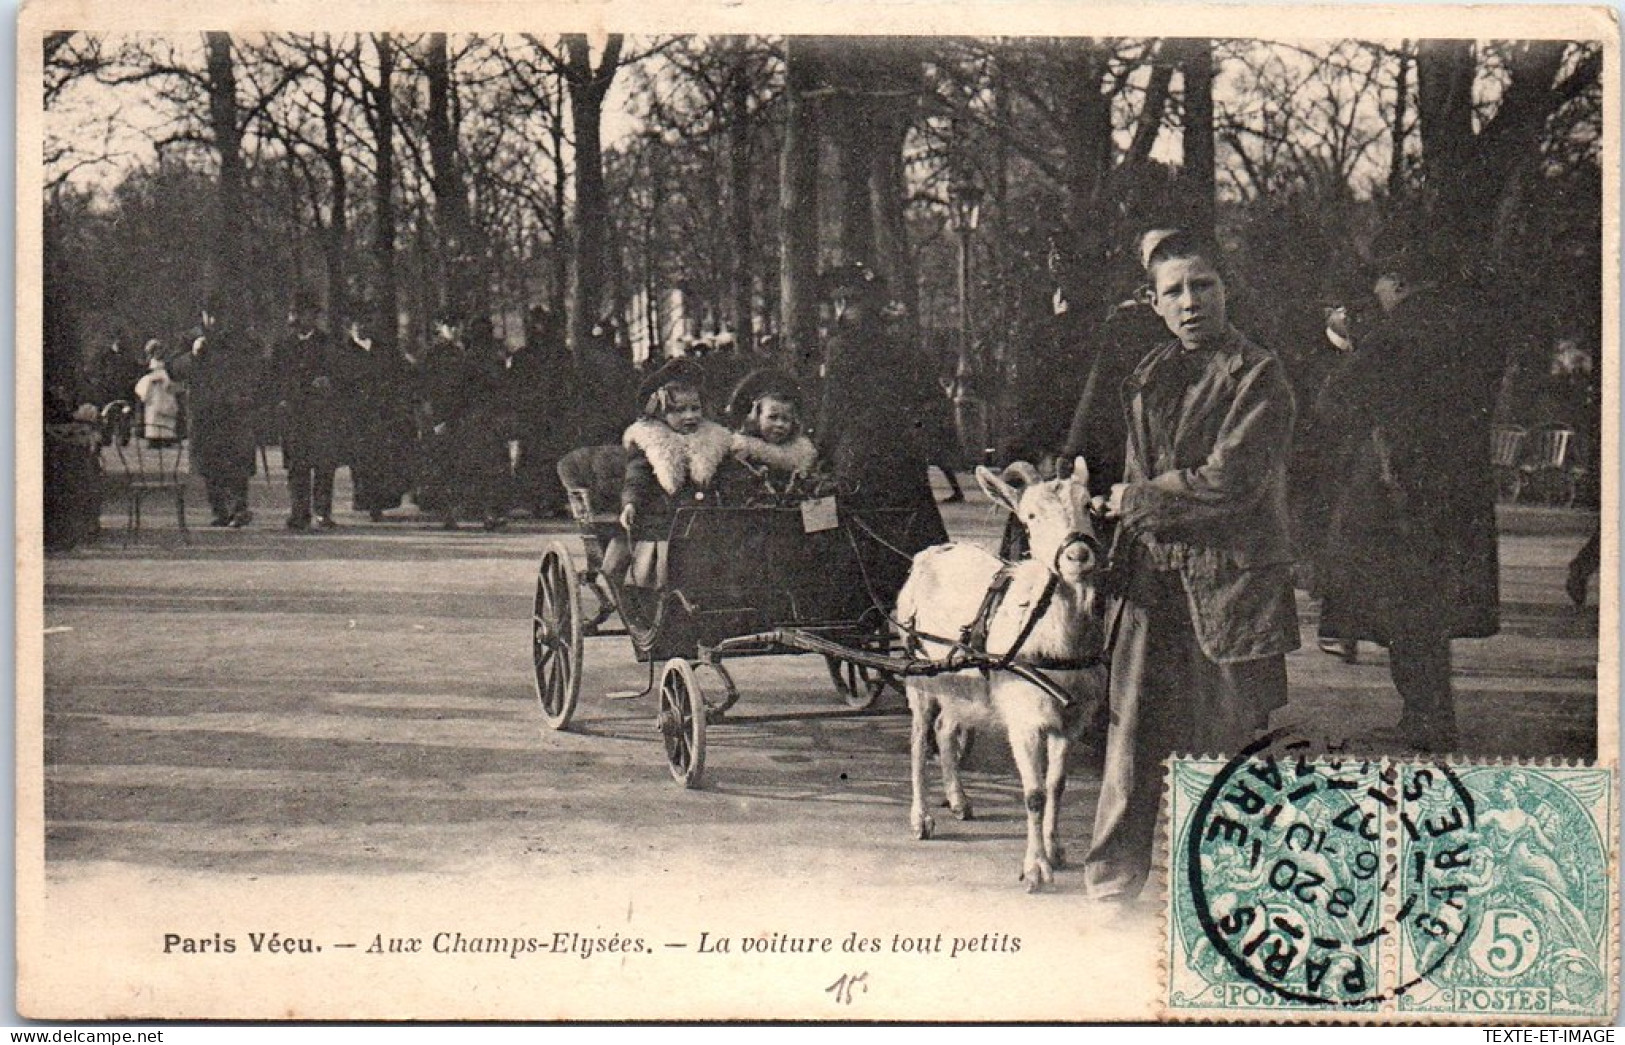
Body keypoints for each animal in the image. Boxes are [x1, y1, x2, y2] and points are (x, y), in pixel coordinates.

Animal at [897, 458, 1111, 890]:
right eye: (1030, 516)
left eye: (1088, 506)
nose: (1079, 556)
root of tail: (928, 554)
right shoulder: (1025, 720)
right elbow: (1034, 793)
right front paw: (1035, 868)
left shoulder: (1071, 721)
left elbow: (1057, 785)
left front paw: (1056, 850)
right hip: (918, 671)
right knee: (919, 739)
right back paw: (921, 818)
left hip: (959, 683)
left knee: (946, 728)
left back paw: (959, 800)